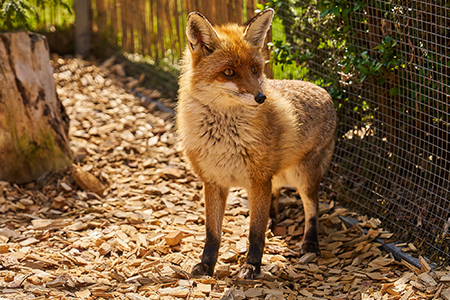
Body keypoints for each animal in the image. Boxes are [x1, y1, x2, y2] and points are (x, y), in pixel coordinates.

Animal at [177, 7, 338, 278]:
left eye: (255, 69)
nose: (261, 97)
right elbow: (212, 233)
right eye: (229, 72)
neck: (224, 138)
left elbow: (254, 233)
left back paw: (310, 243)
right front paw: (207, 265)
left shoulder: (258, 179)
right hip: (275, 176)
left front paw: (252, 265)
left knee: (312, 209)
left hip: (303, 177)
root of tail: (323, 90)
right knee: (274, 197)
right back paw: (272, 221)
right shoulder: (213, 181)